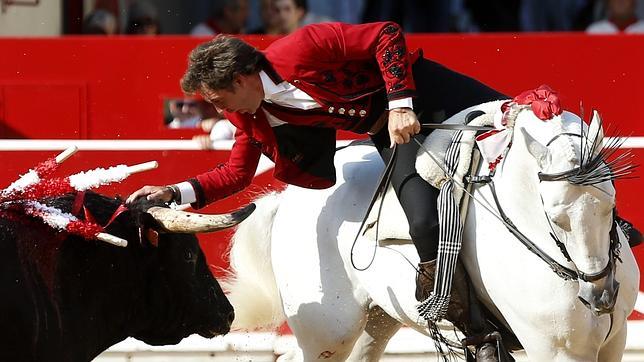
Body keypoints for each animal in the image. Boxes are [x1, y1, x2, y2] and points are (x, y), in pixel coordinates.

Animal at [221, 102, 640, 362]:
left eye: (610, 203)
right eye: (556, 218)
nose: (601, 296)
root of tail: (288, 196)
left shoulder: (613, 341)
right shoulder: (555, 349)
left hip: (376, 322)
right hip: (326, 331)